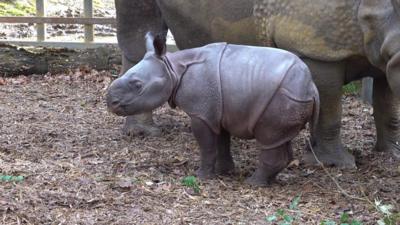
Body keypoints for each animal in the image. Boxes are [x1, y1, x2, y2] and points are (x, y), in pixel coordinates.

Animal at [106, 32, 318, 186]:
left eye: (137, 85)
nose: (110, 103)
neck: (172, 68)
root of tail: (311, 87)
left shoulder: (200, 113)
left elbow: (207, 145)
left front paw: (201, 176)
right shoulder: (217, 111)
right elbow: (221, 142)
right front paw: (224, 171)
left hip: (282, 97)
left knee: (268, 139)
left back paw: (254, 184)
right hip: (288, 98)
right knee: (279, 139)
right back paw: (268, 181)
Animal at [114, 0, 400, 168]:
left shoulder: (382, 57)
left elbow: (388, 107)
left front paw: (391, 153)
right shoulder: (317, 47)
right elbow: (330, 112)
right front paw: (334, 164)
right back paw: (142, 133)